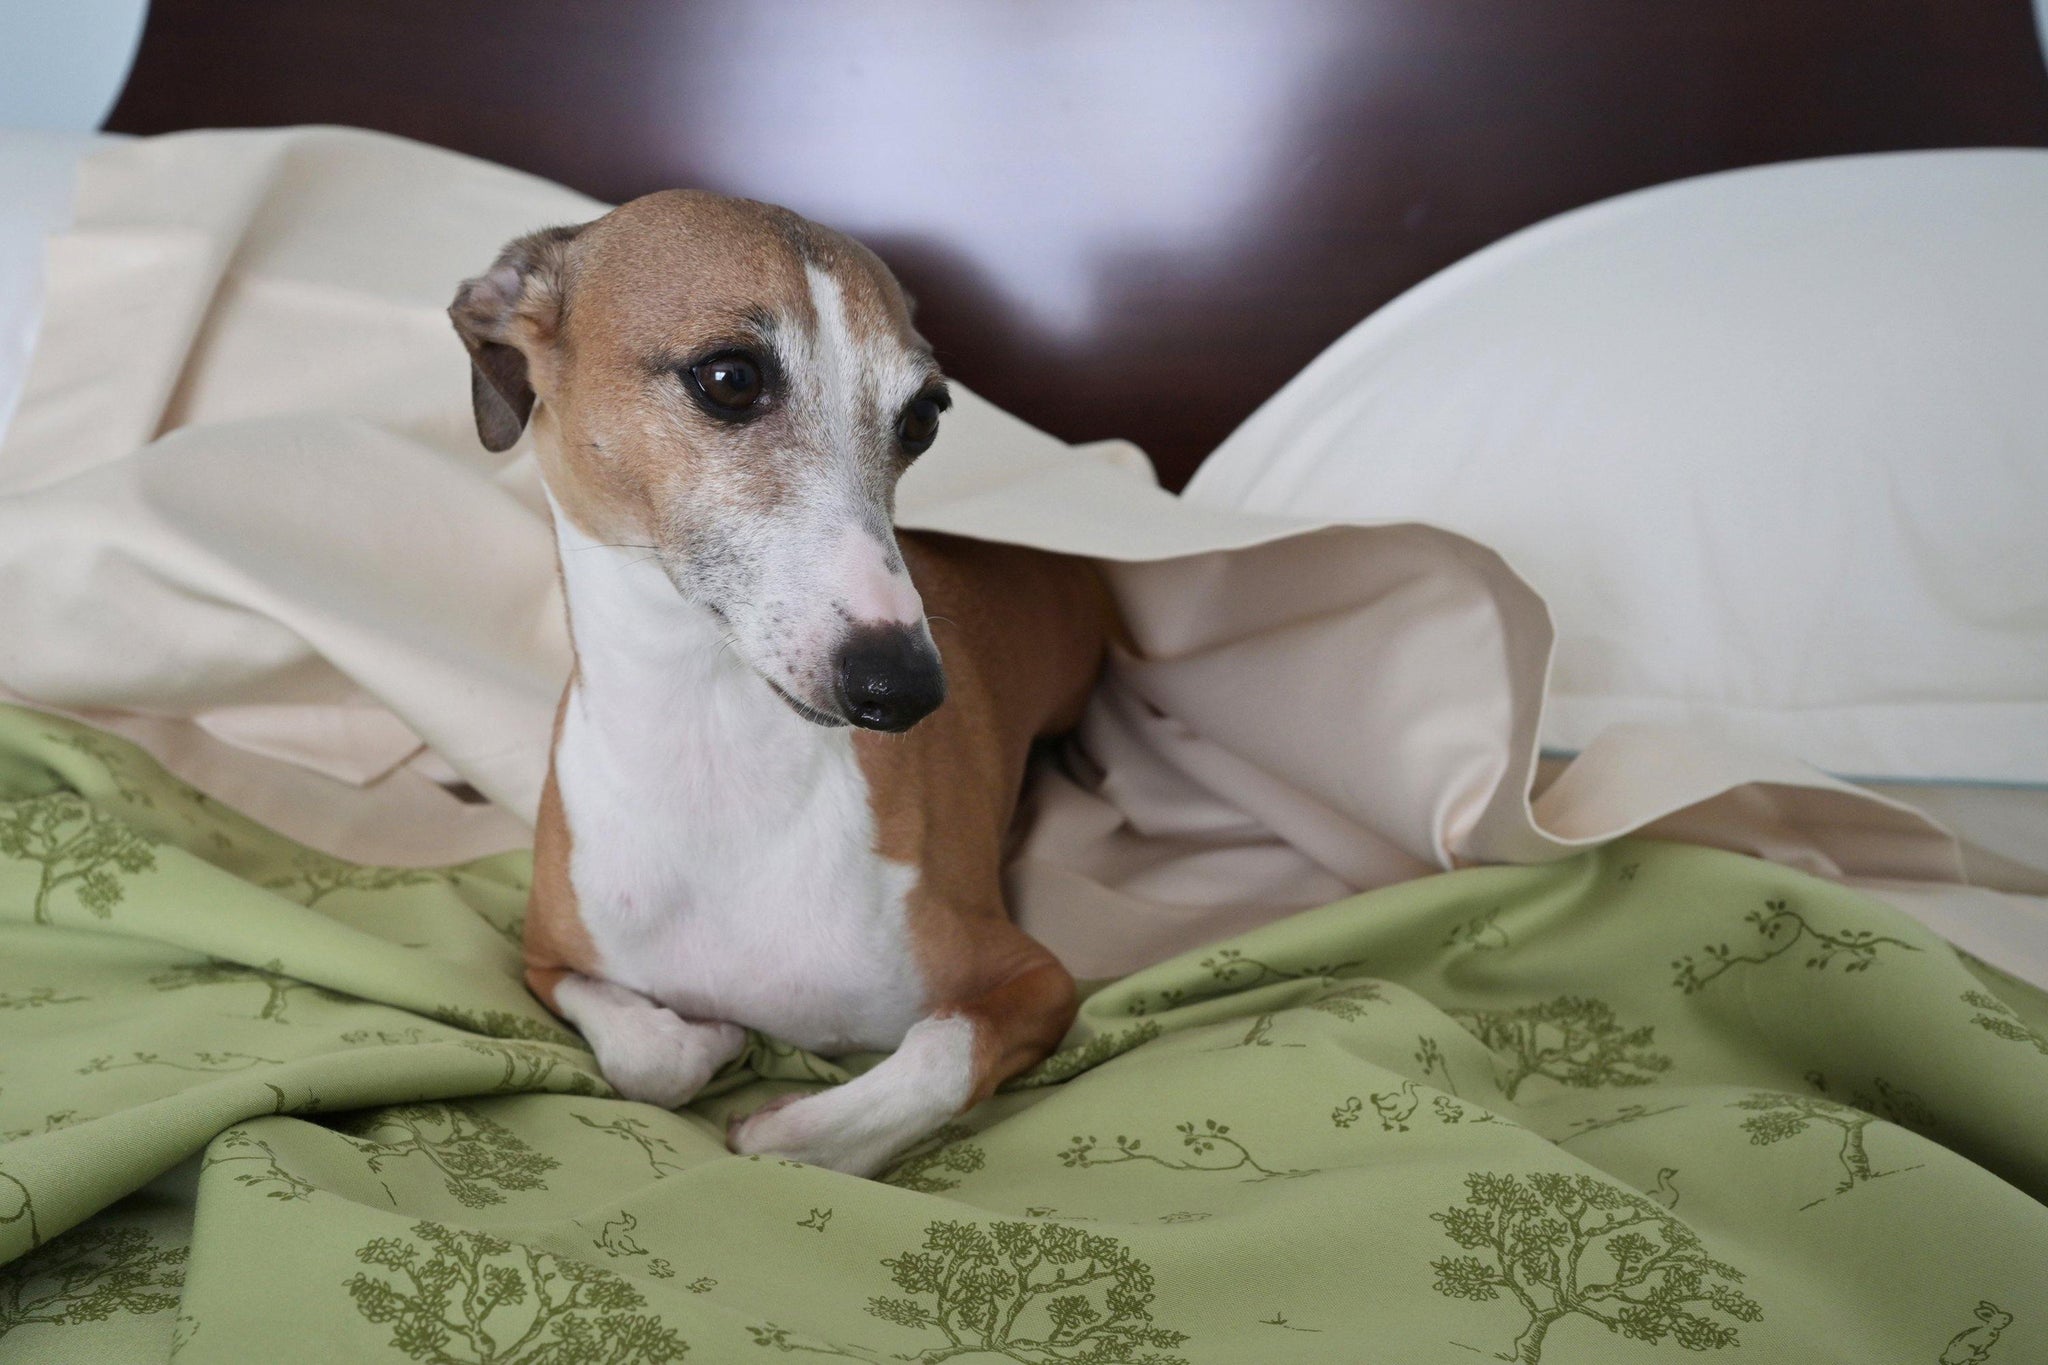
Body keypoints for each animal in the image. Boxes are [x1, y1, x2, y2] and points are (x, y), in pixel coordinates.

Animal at [454, 189, 1114, 1178]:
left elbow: (918, 1062)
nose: (905, 689)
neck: (713, 757)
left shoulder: (1035, 978)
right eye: (730, 378)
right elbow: (647, 1061)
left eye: (924, 416)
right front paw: (709, 1035)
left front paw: (784, 1118)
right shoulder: (544, 958)